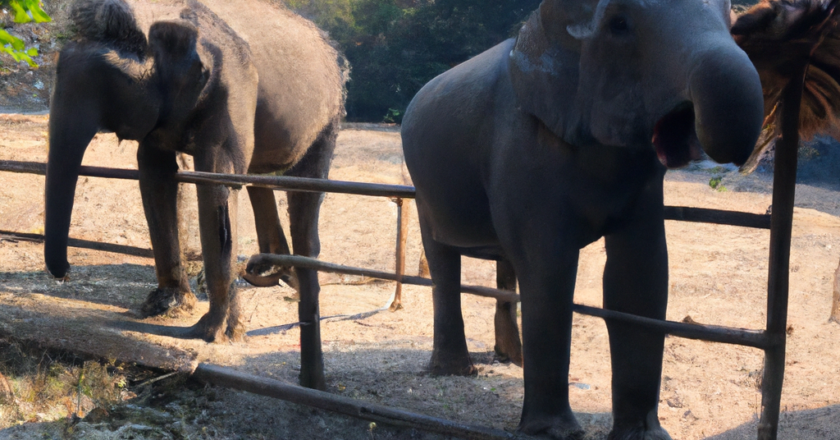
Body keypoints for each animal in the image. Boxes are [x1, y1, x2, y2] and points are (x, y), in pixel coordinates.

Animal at [45, 0, 345, 389]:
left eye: (105, 89)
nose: (66, 272)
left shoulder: (232, 91)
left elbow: (216, 181)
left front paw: (213, 332)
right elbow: (154, 173)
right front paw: (164, 305)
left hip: (327, 119)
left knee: (305, 193)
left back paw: (295, 274)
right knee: (259, 178)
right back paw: (271, 271)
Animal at [401, 0, 764, 438]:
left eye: (732, 22)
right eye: (619, 26)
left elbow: (640, 275)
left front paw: (644, 435)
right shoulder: (523, 145)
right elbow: (549, 269)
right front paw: (554, 432)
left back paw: (511, 360)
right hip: (422, 187)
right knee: (442, 260)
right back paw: (456, 371)